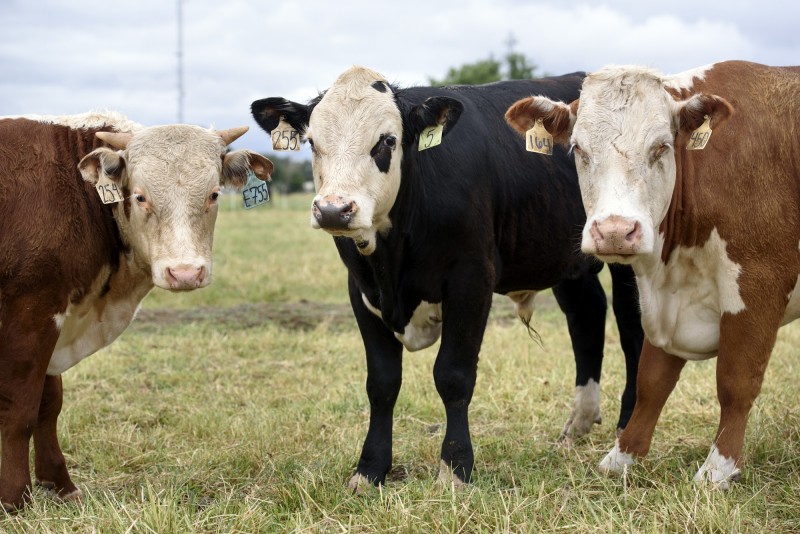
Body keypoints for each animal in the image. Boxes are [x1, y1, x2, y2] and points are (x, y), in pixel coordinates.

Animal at [0, 113, 272, 510]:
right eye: (140, 196)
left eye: (214, 194)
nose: (185, 273)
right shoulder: (31, 313)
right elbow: (20, 410)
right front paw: (15, 499)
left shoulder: (54, 315)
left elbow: (48, 405)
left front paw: (59, 483)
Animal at [253, 65, 648, 492]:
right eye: (312, 142)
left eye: (386, 141)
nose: (333, 210)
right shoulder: (361, 290)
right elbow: (382, 383)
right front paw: (370, 469)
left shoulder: (471, 280)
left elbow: (453, 376)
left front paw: (455, 467)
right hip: (562, 256)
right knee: (586, 317)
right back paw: (577, 425)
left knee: (632, 331)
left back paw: (627, 426)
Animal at [506, 59, 800, 490]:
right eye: (578, 149)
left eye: (661, 146)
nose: (614, 230)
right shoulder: (662, 303)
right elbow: (651, 381)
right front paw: (622, 456)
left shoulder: (758, 283)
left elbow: (736, 381)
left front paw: (718, 469)